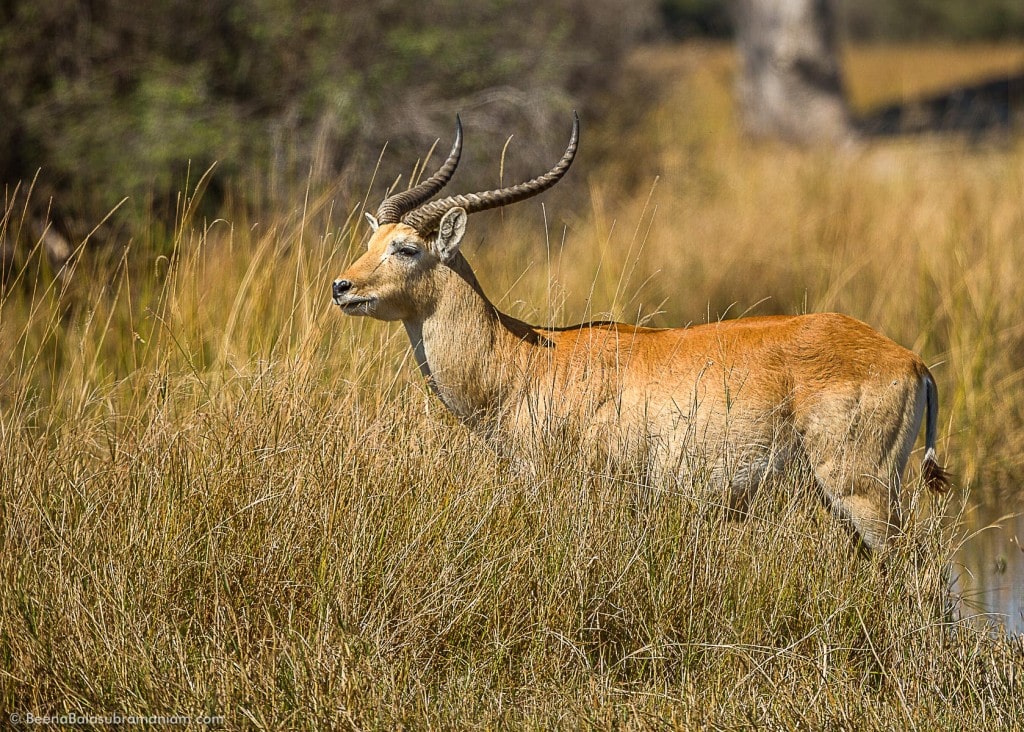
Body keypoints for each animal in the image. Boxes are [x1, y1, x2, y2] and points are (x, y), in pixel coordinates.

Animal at [331, 113, 946, 548]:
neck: (527, 361)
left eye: (406, 248)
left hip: (862, 493)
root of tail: (911, 360)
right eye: (371, 240)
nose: (342, 286)